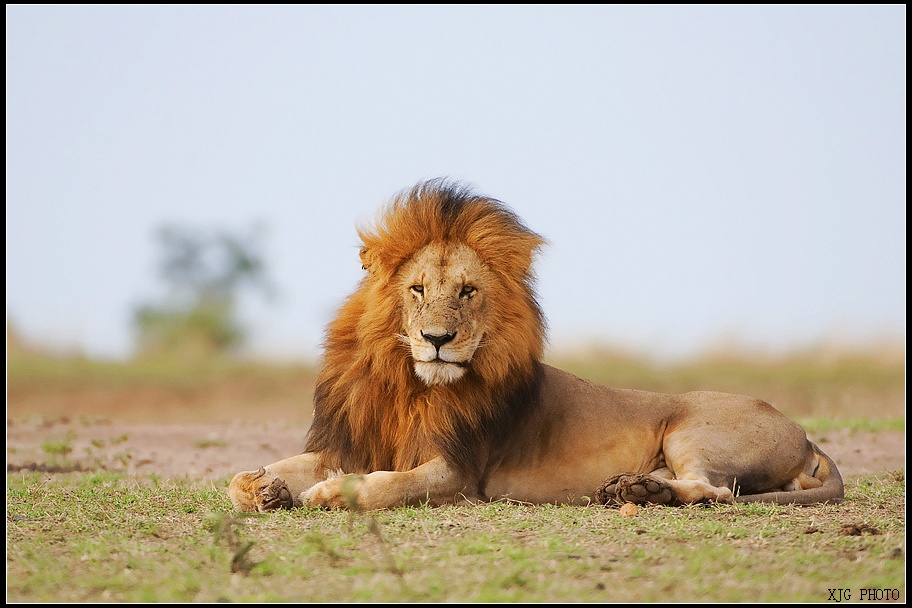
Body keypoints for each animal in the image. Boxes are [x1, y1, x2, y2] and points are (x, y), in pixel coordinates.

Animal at [232, 180, 844, 512]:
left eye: (468, 291)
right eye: (418, 289)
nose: (437, 340)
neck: (410, 384)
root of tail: (806, 435)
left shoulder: (459, 473)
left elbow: (390, 486)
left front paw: (330, 494)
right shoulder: (350, 442)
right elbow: (237, 480)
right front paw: (267, 489)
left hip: (691, 429)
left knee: (715, 491)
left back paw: (645, 492)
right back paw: (633, 488)